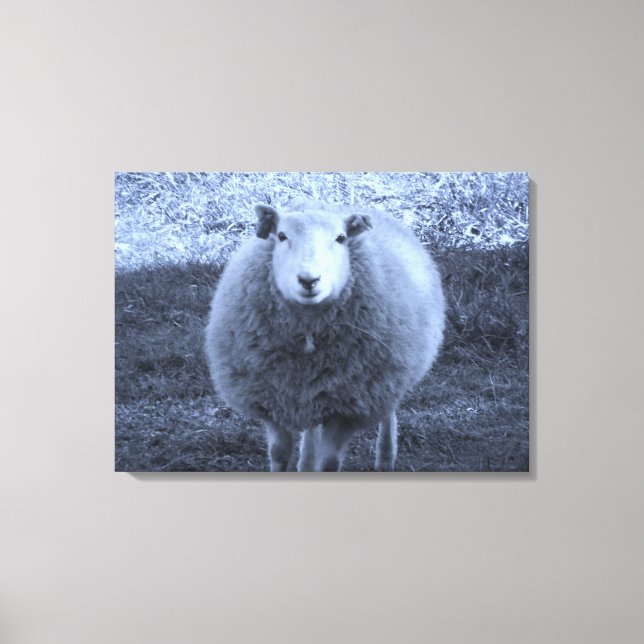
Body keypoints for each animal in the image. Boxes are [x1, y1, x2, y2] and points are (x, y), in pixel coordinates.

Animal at [205, 201, 445, 471]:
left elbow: (329, 462)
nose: (309, 280)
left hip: (386, 381)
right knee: (311, 431)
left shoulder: (347, 410)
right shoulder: (271, 401)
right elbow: (279, 454)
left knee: (387, 414)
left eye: (341, 238)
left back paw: (385, 458)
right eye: (281, 236)